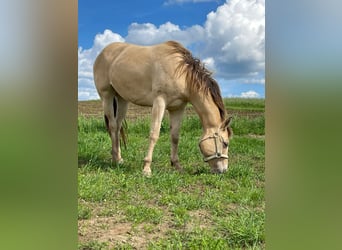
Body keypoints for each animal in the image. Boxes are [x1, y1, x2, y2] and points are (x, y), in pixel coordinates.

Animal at [93, 40, 232, 176]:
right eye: (225, 143)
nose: (223, 170)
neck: (182, 74)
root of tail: (103, 52)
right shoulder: (159, 102)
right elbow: (154, 134)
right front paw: (146, 169)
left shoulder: (178, 108)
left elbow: (175, 137)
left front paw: (177, 166)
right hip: (107, 96)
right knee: (112, 126)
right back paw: (116, 159)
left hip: (122, 100)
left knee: (117, 127)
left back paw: (119, 159)